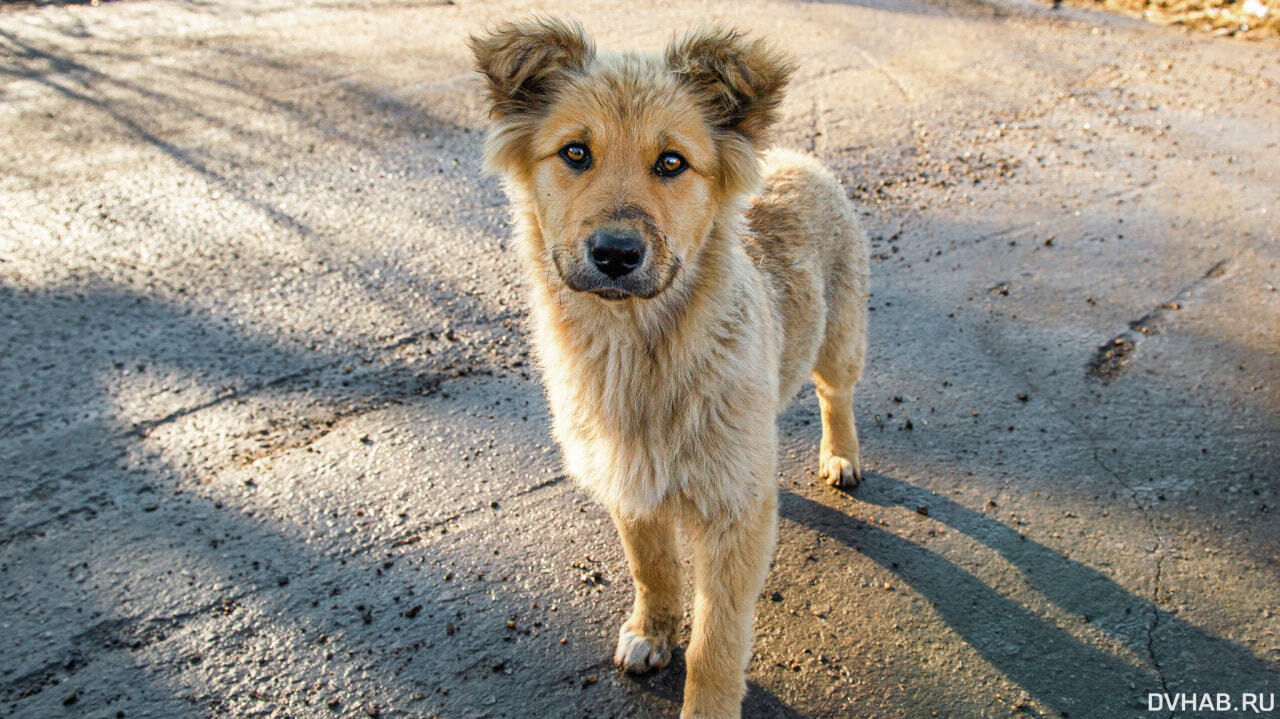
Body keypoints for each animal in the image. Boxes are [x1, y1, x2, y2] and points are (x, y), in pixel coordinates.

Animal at [471, 19, 870, 711]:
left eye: (672, 162)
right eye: (575, 153)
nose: (615, 254)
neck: (638, 352)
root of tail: (797, 157)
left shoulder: (734, 514)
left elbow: (717, 642)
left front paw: (706, 703)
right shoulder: (630, 483)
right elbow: (652, 569)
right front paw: (651, 633)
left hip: (838, 339)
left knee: (834, 395)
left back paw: (840, 454)